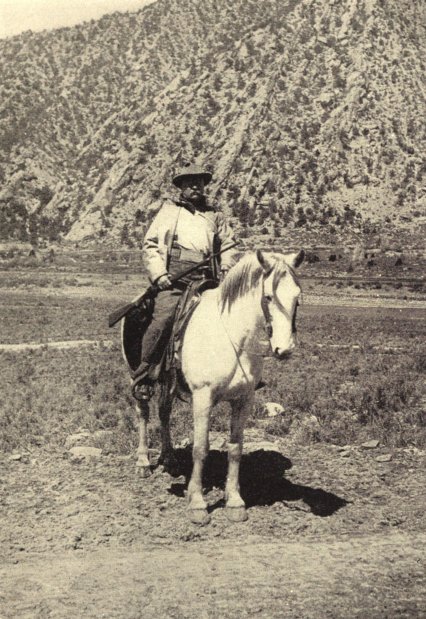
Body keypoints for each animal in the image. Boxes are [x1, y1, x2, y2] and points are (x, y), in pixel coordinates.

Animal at [124, 248, 304, 525]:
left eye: (297, 298)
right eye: (268, 297)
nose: (284, 350)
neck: (232, 338)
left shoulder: (244, 400)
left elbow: (235, 448)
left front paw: (235, 501)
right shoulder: (203, 397)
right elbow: (200, 449)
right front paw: (197, 503)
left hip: (168, 381)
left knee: (164, 413)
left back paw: (170, 459)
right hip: (139, 377)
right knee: (143, 412)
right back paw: (143, 462)